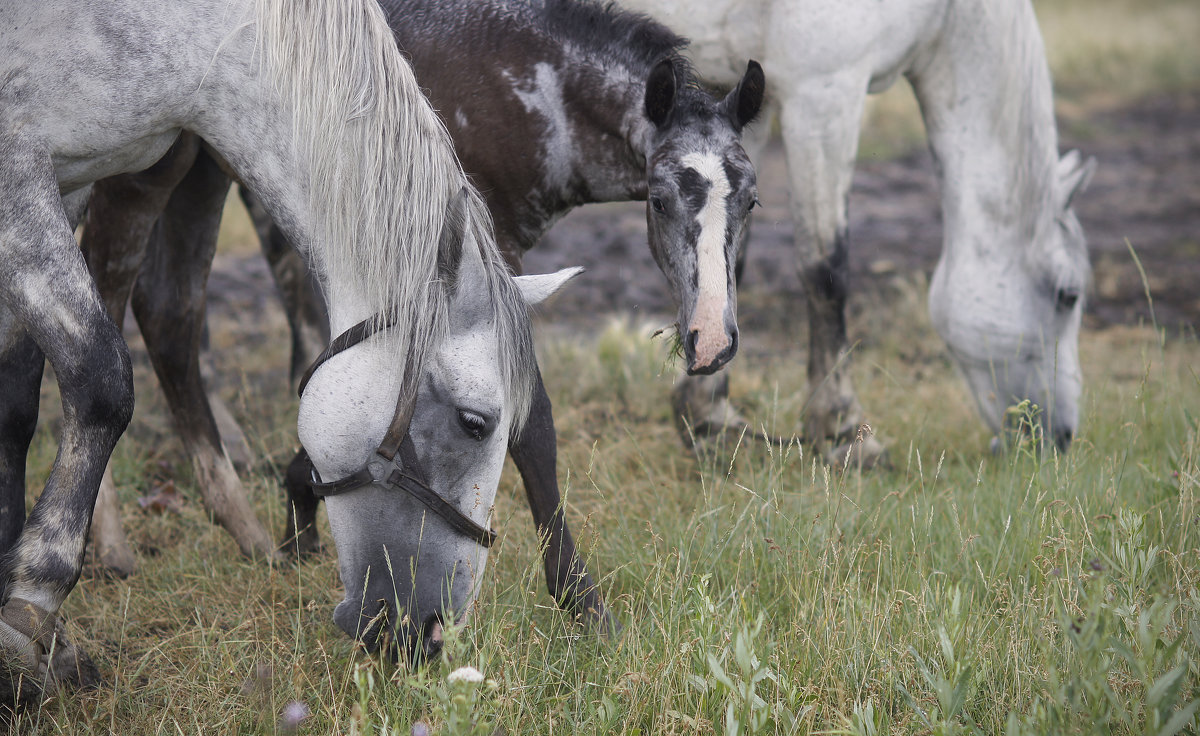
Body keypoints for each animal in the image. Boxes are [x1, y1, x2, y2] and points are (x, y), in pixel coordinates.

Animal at [1, 0, 571, 701]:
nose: (435, 632)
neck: (191, 31)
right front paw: (33, 602)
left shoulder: (69, 176)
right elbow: (99, 378)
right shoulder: (19, 164)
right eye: (474, 422)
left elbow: (16, 401)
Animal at [82, 0, 758, 624]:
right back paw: (110, 543)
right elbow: (532, 426)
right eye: (660, 198)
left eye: (751, 200)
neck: (523, 86)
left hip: (202, 176)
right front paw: (581, 600)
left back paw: (241, 526)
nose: (710, 341)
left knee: (170, 311)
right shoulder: (488, 255)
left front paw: (302, 505)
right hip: (138, 175)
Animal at [624, 0, 1099, 458]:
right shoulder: (824, 94)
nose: (1059, 438)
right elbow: (825, 270)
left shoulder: (730, 98)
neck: (945, 10)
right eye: (1068, 295)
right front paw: (843, 430)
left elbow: (728, 262)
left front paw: (710, 420)